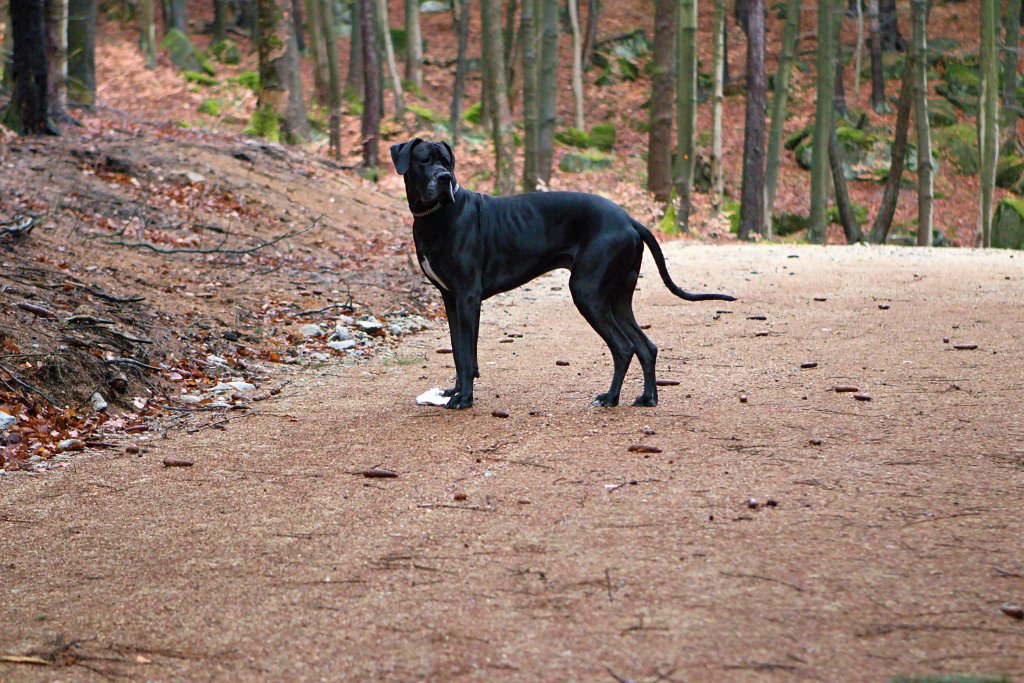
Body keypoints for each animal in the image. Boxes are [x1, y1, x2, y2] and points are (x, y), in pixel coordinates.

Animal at [391, 136, 737, 409]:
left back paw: (610, 398)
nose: (445, 178)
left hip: (587, 292)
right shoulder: (450, 299)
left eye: (447, 162)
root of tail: (629, 219)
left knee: (623, 347)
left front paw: (463, 398)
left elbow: (465, 353)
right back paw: (647, 397)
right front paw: (455, 391)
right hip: (618, 297)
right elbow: (458, 350)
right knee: (645, 346)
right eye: (425, 160)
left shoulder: (467, 297)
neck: (435, 215)